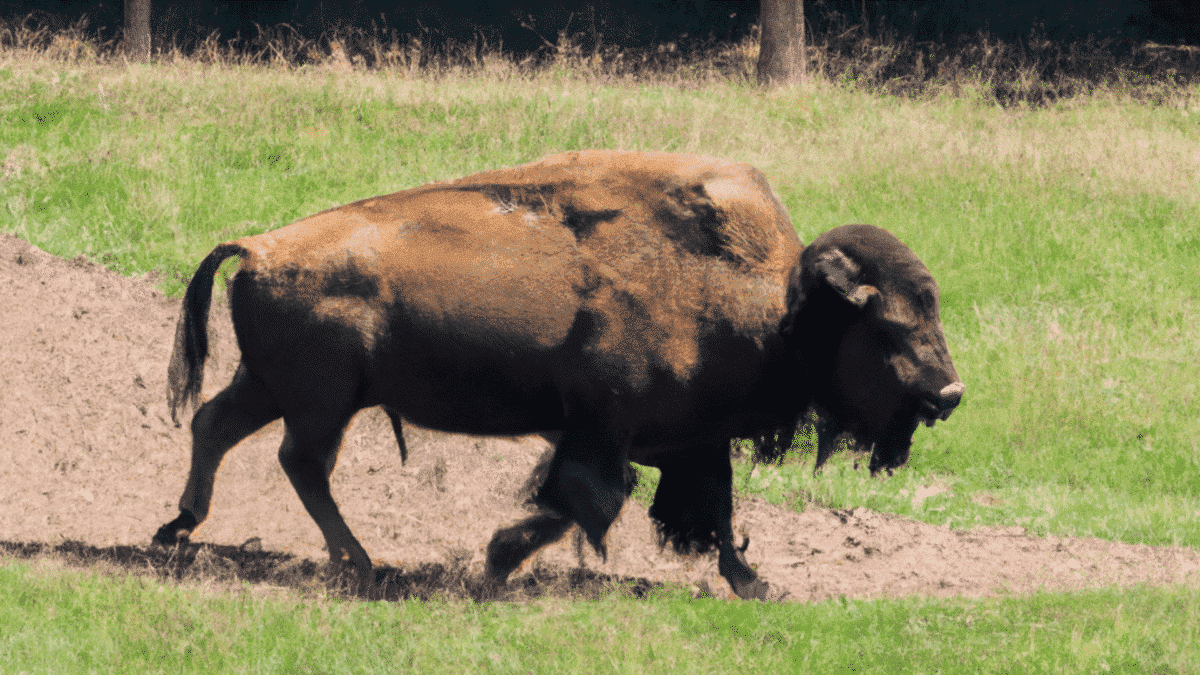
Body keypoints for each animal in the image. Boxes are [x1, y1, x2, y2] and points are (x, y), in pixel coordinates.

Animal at [152, 149, 964, 595]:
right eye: (889, 328)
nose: (948, 393)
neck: (777, 305)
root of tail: (259, 247)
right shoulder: (604, 430)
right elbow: (587, 498)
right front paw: (494, 563)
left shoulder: (690, 442)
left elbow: (711, 514)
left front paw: (755, 584)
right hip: (323, 401)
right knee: (300, 462)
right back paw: (358, 562)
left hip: (275, 386)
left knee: (217, 424)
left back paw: (179, 528)